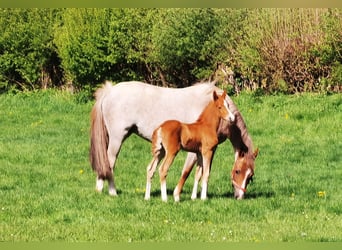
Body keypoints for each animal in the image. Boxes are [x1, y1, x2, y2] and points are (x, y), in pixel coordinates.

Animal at [89, 81, 258, 200]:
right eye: (237, 171)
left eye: (250, 176)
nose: (239, 197)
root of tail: (110, 91)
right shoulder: (195, 151)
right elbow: (187, 171)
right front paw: (178, 194)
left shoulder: (209, 150)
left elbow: (200, 172)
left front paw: (195, 196)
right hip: (117, 138)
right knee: (109, 163)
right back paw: (110, 191)